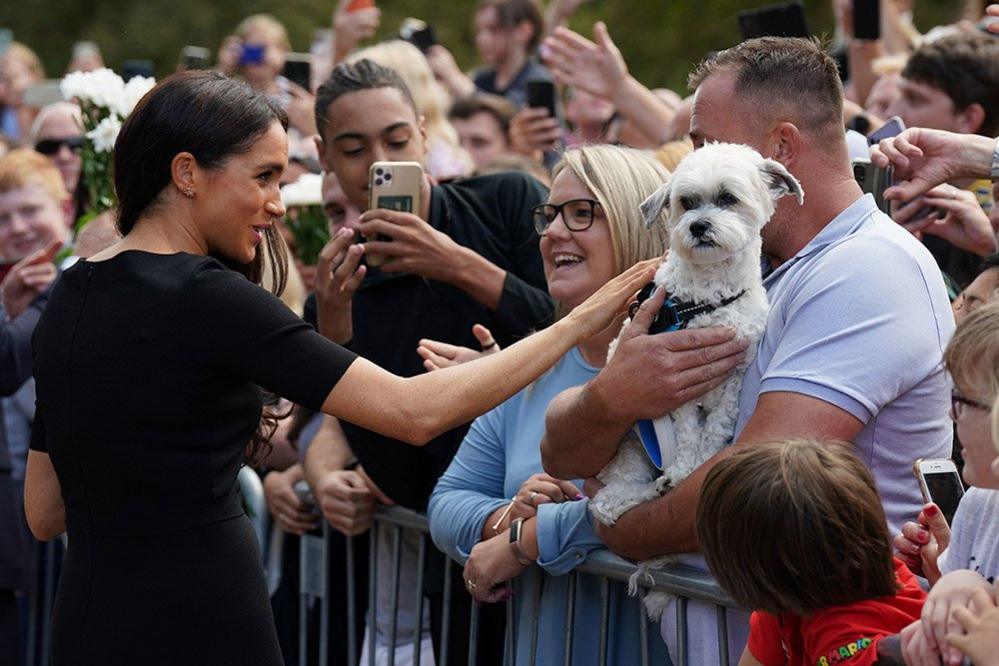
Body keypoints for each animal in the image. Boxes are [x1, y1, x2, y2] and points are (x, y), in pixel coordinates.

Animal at [588, 143, 800, 616]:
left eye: (727, 198)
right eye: (686, 202)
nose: (699, 226)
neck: (709, 299)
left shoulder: (734, 376)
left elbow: (714, 430)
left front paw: (697, 464)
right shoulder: (671, 380)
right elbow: (686, 433)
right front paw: (685, 469)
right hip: (630, 445)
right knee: (608, 501)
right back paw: (649, 488)